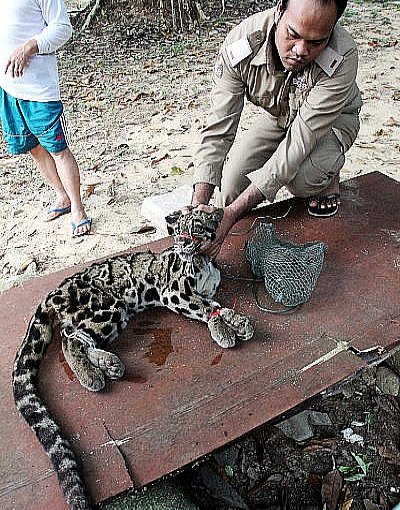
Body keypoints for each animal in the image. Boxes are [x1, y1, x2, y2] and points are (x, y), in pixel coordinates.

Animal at [14, 208, 255, 510]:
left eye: (197, 227)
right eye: (179, 229)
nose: (182, 243)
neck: (202, 261)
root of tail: (56, 289)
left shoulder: (204, 292)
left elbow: (216, 306)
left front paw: (238, 321)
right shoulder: (174, 292)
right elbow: (203, 307)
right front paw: (223, 330)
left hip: (114, 315)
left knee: (77, 336)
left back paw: (108, 364)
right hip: (108, 307)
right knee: (69, 339)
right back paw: (91, 374)